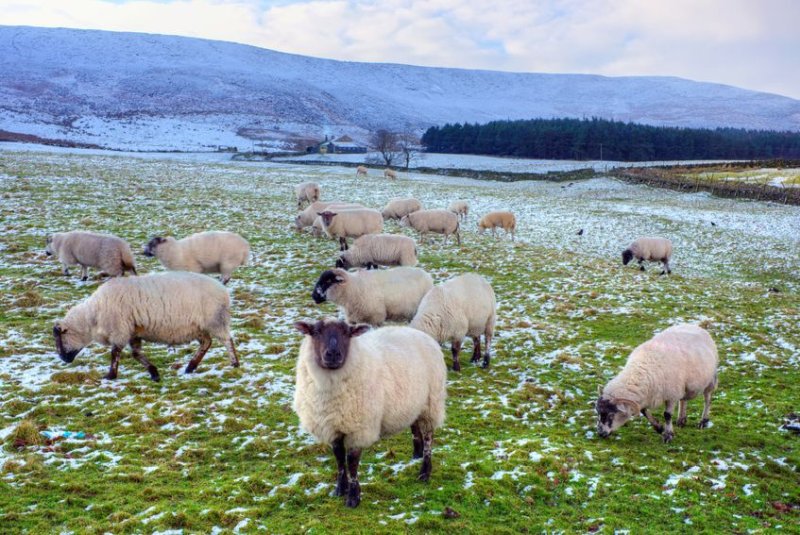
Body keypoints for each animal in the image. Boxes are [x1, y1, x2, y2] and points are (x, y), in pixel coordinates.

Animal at [53, 272, 239, 382]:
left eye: (60, 337)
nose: (63, 359)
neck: (93, 316)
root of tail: (223, 291)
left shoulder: (120, 329)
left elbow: (115, 353)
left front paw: (110, 376)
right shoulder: (133, 331)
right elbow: (136, 354)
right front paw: (154, 372)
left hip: (215, 320)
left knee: (227, 340)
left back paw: (234, 363)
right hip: (197, 327)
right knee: (207, 343)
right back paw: (190, 367)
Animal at [294, 320, 446, 508]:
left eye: (347, 333)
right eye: (315, 332)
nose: (333, 354)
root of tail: (422, 334)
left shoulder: (359, 428)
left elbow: (352, 463)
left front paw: (353, 497)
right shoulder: (333, 427)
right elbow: (339, 460)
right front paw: (340, 489)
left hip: (431, 404)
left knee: (428, 438)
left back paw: (424, 472)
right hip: (414, 403)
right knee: (415, 427)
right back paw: (416, 455)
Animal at [592, 322, 720, 444]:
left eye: (611, 415)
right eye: (598, 412)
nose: (600, 434)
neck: (641, 370)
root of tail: (695, 326)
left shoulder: (671, 395)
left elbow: (667, 415)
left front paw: (668, 435)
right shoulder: (647, 396)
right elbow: (644, 411)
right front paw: (659, 427)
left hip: (710, 380)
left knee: (707, 399)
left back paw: (703, 421)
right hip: (684, 385)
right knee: (683, 400)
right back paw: (681, 420)